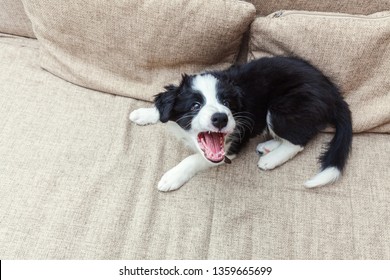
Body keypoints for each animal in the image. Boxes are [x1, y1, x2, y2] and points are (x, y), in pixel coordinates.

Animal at [129, 55, 352, 191]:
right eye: (195, 105)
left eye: (227, 102)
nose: (221, 118)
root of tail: (333, 92)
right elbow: (162, 110)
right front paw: (144, 113)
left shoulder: (234, 142)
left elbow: (194, 159)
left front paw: (171, 177)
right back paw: (268, 146)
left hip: (284, 107)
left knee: (298, 140)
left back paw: (271, 158)